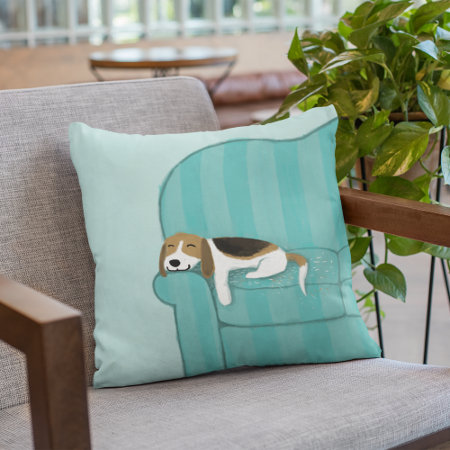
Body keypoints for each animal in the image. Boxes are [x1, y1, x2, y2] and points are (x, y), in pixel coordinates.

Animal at [159, 232, 310, 306]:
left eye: (191, 247)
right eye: (170, 246)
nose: (173, 262)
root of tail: (284, 253)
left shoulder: (221, 271)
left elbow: (220, 284)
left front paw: (225, 300)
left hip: (268, 263)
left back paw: (251, 274)